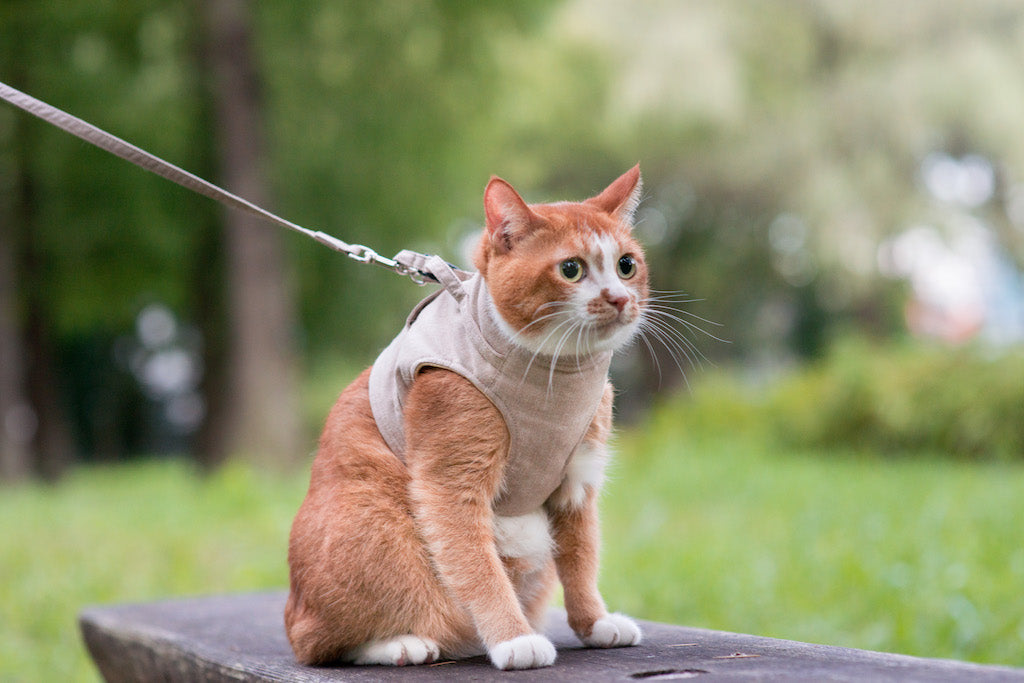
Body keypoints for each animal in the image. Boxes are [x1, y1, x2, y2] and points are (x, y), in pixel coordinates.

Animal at [282, 166, 647, 671]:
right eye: (571, 269)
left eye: (626, 265)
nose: (617, 298)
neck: (557, 376)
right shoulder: (451, 483)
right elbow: (477, 566)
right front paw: (513, 638)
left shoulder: (577, 483)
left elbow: (581, 557)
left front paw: (594, 623)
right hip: (371, 520)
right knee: (320, 643)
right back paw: (403, 644)